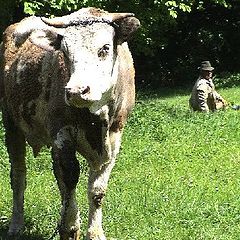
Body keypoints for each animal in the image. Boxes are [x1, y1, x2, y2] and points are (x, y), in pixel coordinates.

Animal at [0, 6, 140, 239]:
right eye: (64, 52)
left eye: (105, 48)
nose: (76, 91)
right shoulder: (61, 132)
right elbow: (70, 176)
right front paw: (70, 227)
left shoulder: (115, 137)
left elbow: (97, 190)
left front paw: (94, 232)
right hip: (11, 123)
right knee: (19, 175)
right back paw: (16, 225)